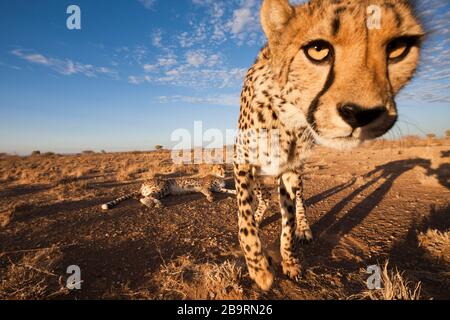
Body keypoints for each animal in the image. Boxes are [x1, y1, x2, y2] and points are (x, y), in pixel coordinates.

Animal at [102, 165, 236, 210]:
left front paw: (235, 192)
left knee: (144, 197)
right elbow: (209, 192)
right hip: (163, 187)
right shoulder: (204, 188)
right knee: (146, 197)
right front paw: (211, 198)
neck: (218, 177)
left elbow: (228, 190)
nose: (225, 172)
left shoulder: (219, 189)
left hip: (163, 191)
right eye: (219, 168)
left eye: (224, 167)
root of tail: (144, 182)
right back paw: (157, 204)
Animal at [234, 0, 424, 290]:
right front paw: (259, 269)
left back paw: (303, 228)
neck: (284, 116)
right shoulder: (242, 162)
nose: (360, 113)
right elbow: (245, 217)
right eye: (318, 51)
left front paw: (289, 261)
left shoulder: (289, 170)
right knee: (262, 198)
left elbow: (288, 222)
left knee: (298, 201)